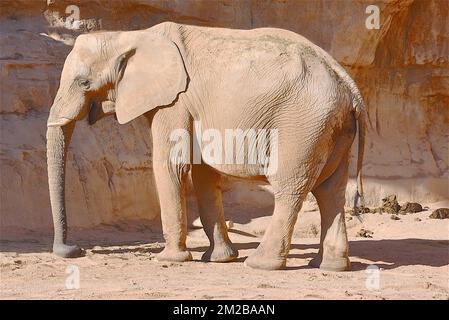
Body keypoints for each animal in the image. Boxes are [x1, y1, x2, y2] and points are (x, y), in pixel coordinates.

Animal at [47, 21, 366, 270]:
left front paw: (170, 260)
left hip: (303, 124)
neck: (131, 36)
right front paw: (219, 259)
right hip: (332, 126)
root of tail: (350, 86)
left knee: (291, 188)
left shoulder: (175, 101)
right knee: (330, 190)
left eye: (84, 82)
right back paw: (330, 266)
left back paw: (261, 264)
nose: (75, 250)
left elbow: (171, 165)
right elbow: (204, 173)